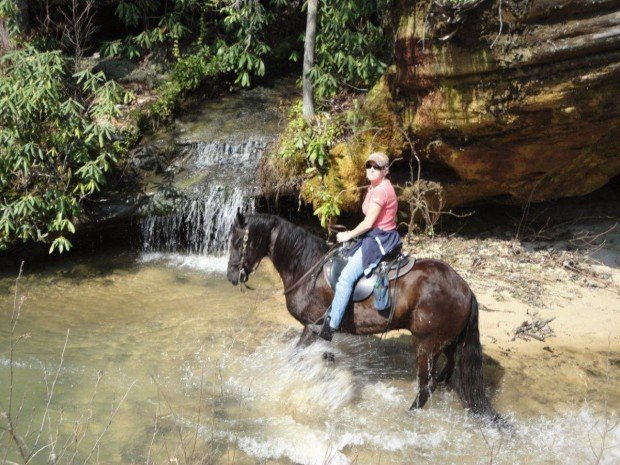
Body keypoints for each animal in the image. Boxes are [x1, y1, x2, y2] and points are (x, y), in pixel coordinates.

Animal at [228, 212, 498, 418]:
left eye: (237, 242)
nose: (231, 276)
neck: (307, 268)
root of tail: (465, 289)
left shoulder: (311, 327)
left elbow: (295, 357)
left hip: (427, 344)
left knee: (426, 387)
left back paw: (408, 415)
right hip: (449, 342)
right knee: (447, 374)